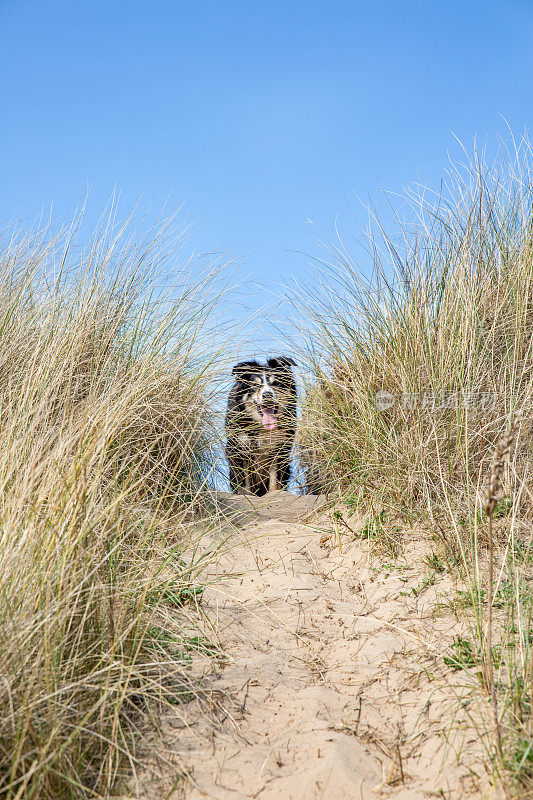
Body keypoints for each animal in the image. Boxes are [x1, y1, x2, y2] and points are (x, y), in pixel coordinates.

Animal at [223, 356, 298, 494]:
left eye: (276, 383)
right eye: (255, 385)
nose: (267, 394)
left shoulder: (279, 448)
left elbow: (275, 479)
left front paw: (274, 495)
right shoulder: (240, 448)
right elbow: (245, 484)